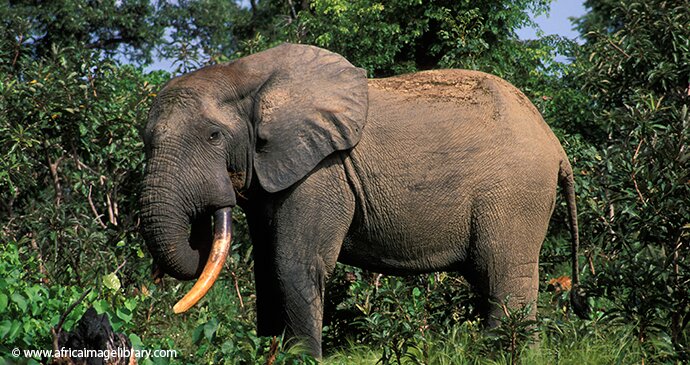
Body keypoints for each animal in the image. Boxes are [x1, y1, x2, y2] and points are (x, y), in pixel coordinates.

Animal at [140, 42, 584, 356]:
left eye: (214, 136)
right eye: (145, 141)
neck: (243, 75)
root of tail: (556, 145)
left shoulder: (322, 171)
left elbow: (293, 264)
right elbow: (267, 270)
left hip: (515, 194)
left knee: (503, 275)